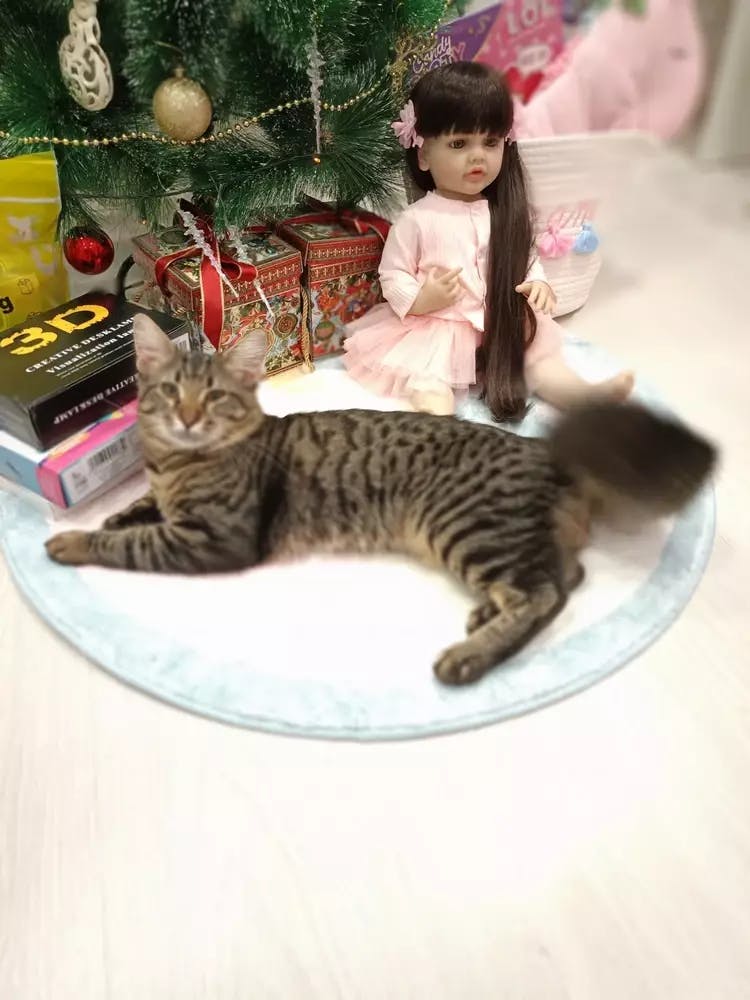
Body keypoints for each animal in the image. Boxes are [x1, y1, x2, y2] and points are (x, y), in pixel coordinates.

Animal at [45, 314, 716, 685]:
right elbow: (135, 511)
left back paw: (467, 656)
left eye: (212, 398)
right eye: (168, 393)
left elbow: (131, 540)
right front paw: (114, 512)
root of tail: (541, 449)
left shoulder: (216, 538)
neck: (176, 464)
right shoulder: (170, 504)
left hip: (464, 525)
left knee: (545, 592)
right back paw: (483, 617)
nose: (186, 418)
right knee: (563, 576)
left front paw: (71, 539)